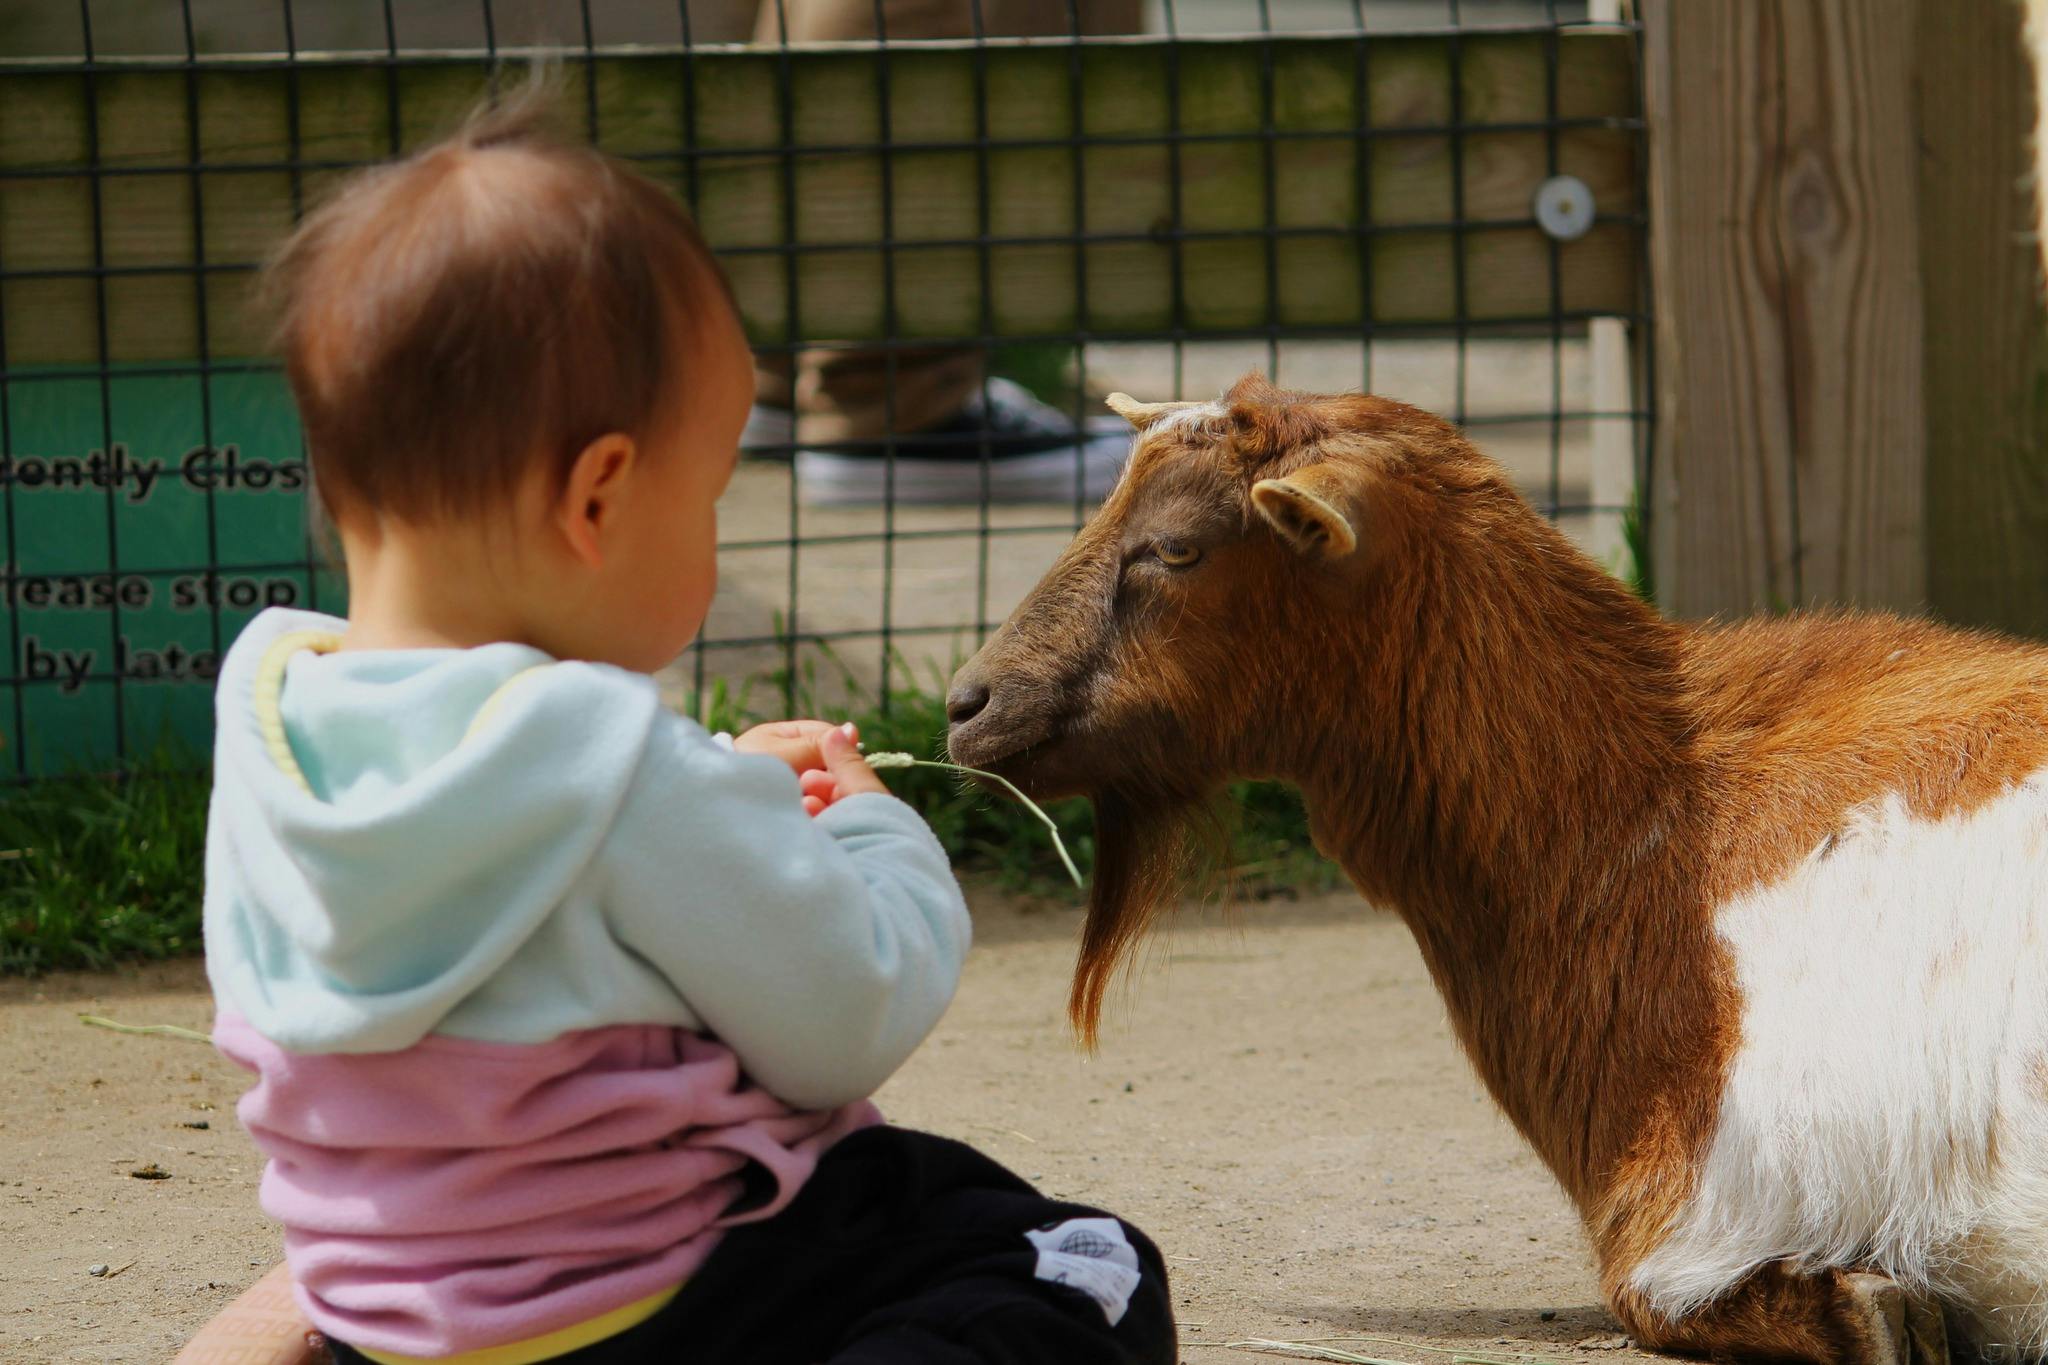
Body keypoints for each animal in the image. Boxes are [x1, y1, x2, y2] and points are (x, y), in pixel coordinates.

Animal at [945, 374, 2048, 1365]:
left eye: (1176, 547)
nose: (968, 704)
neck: (1651, 814)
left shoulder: (1696, 1209)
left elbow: (1725, 1301)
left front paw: (1876, 1308)